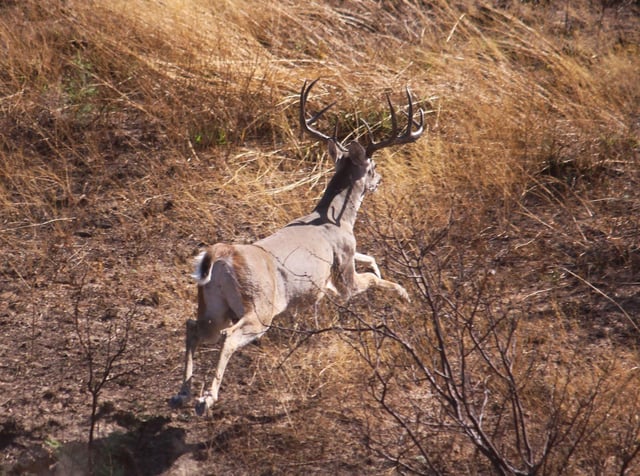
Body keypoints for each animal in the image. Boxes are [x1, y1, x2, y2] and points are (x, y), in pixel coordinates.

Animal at [170, 78, 424, 412]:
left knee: (192, 326)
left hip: (212, 304)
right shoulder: (343, 272)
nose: (378, 180)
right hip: (260, 306)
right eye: (372, 166)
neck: (334, 219)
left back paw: (181, 393)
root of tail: (221, 256)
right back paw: (206, 399)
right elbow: (369, 279)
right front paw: (406, 296)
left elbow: (367, 261)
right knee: (228, 336)